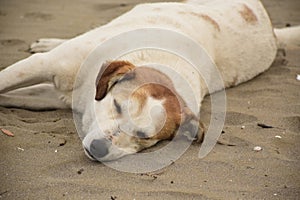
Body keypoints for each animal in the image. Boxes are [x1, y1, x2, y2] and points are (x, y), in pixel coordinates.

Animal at [0, 0, 300, 162]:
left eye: (144, 136)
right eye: (117, 106)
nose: (99, 149)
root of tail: (271, 27)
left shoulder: (56, 97)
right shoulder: (45, 66)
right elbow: (6, 79)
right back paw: (49, 41)